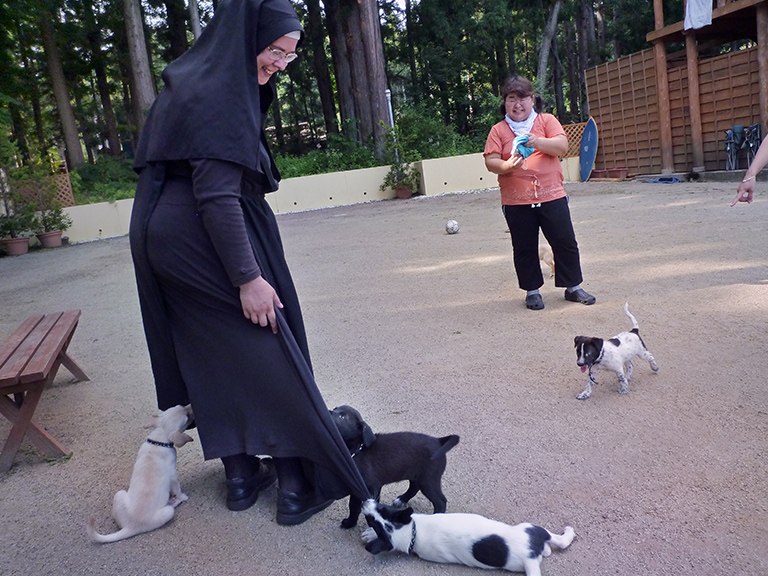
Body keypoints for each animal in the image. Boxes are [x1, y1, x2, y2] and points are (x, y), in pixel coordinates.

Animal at [86, 402, 195, 544]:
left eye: (180, 405)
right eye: (187, 418)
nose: (191, 405)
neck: (158, 441)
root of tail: (131, 526)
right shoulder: (173, 475)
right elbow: (178, 489)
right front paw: (182, 496)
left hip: (119, 495)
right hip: (168, 512)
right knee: (171, 508)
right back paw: (174, 501)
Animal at [328, 404, 456, 528]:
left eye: (342, 416)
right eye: (335, 408)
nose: (328, 411)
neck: (356, 449)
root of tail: (439, 441)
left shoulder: (369, 487)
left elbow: (361, 507)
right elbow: (354, 506)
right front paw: (351, 522)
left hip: (429, 479)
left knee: (440, 501)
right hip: (416, 474)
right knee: (414, 487)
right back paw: (402, 499)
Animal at [364, 498, 572, 572]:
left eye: (382, 509)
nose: (365, 502)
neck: (414, 531)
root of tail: (530, 555)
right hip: (531, 529)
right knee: (558, 541)